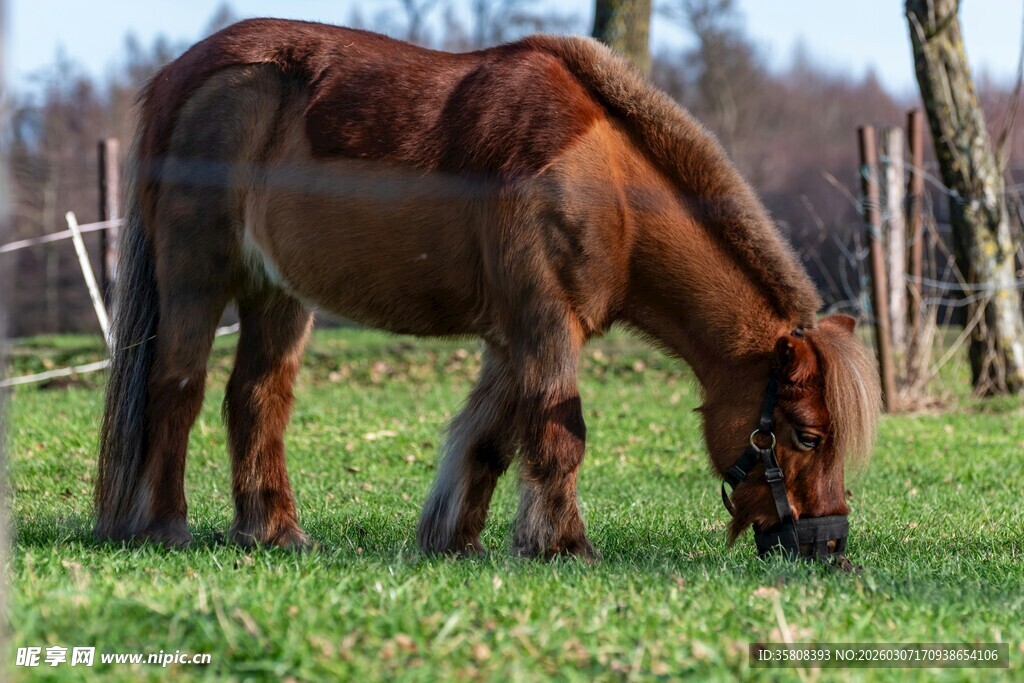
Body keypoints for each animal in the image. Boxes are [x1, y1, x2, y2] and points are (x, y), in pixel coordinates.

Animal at [94, 19, 881, 560]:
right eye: (808, 434)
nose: (830, 544)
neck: (606, 181)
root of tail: (182, 75)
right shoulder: (545, 325)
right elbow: (559, 435)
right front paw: (563, 545)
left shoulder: (512, 340)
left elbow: (488, 438)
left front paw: (457, 539)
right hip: (197, 275)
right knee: (177, 385)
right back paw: (164, 526)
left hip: (276, 293)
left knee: (256, 398)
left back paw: (273, 530)